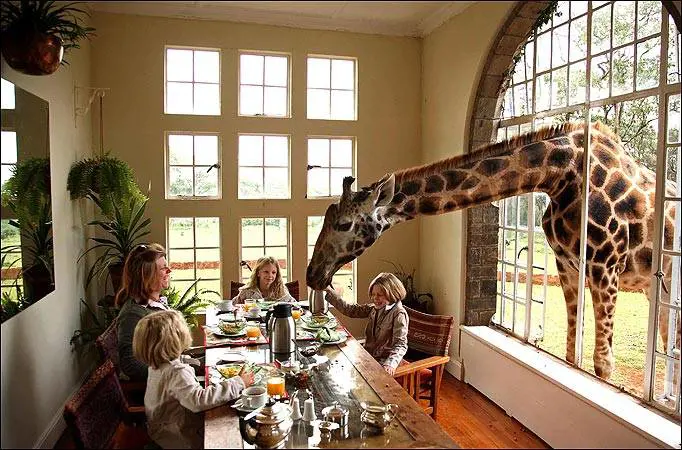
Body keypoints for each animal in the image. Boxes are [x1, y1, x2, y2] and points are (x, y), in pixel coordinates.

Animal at [306, 121, 679, 380]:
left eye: (344, 224)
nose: (313, 275)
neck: (562, 175)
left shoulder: (606, 267)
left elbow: (602, 366)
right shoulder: (568, 266)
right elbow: (571, 349)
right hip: (658, 289)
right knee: (667, 341)